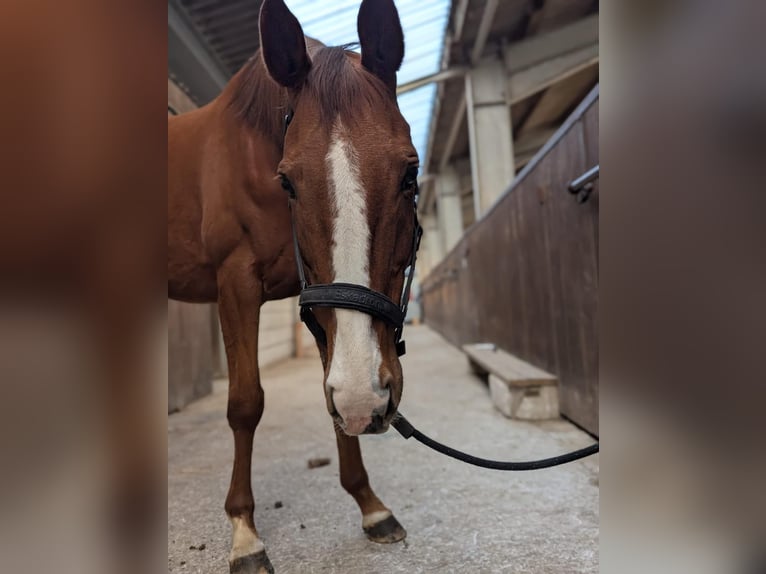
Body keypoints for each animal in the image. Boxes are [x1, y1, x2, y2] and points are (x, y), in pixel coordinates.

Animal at [168, 1, 419, 571]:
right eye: (287, 181)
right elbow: (245, 403)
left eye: (409, 173)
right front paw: (245, 534)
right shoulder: (237, 283)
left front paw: (370, 506)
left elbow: (334, 398)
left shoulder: (324, 304)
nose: (371, 399)